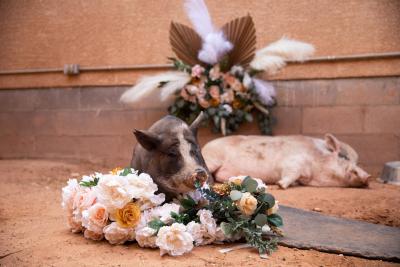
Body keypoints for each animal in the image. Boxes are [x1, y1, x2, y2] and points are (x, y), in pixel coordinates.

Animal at [202, 134, 370, 188]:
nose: (367, 176)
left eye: (357, 161)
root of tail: (206, 145)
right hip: (212, 158)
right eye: (343, 157)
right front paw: (280, 185)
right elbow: (290, 174)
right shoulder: (292, 162)